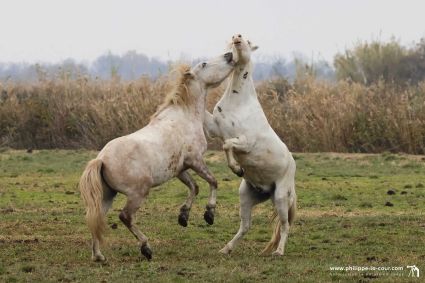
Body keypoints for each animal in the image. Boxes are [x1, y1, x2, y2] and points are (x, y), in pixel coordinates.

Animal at [79, 50, 235, 262]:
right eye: (204, 64)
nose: (229, 55)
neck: (185, 116)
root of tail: (101, 159)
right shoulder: (195, 160)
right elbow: (213, 181)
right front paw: (209, 214)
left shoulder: (180, 169)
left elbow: (194, 187)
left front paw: (183, 217)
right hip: (138, 193)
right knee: (125, 217)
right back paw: (146, 248)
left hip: (107, 195)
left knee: (96, 218)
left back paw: (99, 256)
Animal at [204, 33, 296, 258]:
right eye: (233, 39)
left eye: (247, 41)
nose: (236, 36)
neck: (239, 102)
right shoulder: (214, 128)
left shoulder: (245, 142)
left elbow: (228, 145)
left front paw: (237, 168)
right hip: (247, 196)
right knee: (245, 226)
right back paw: (226, 248)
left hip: (281, 197)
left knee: (285, 225)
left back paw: (278, 252)